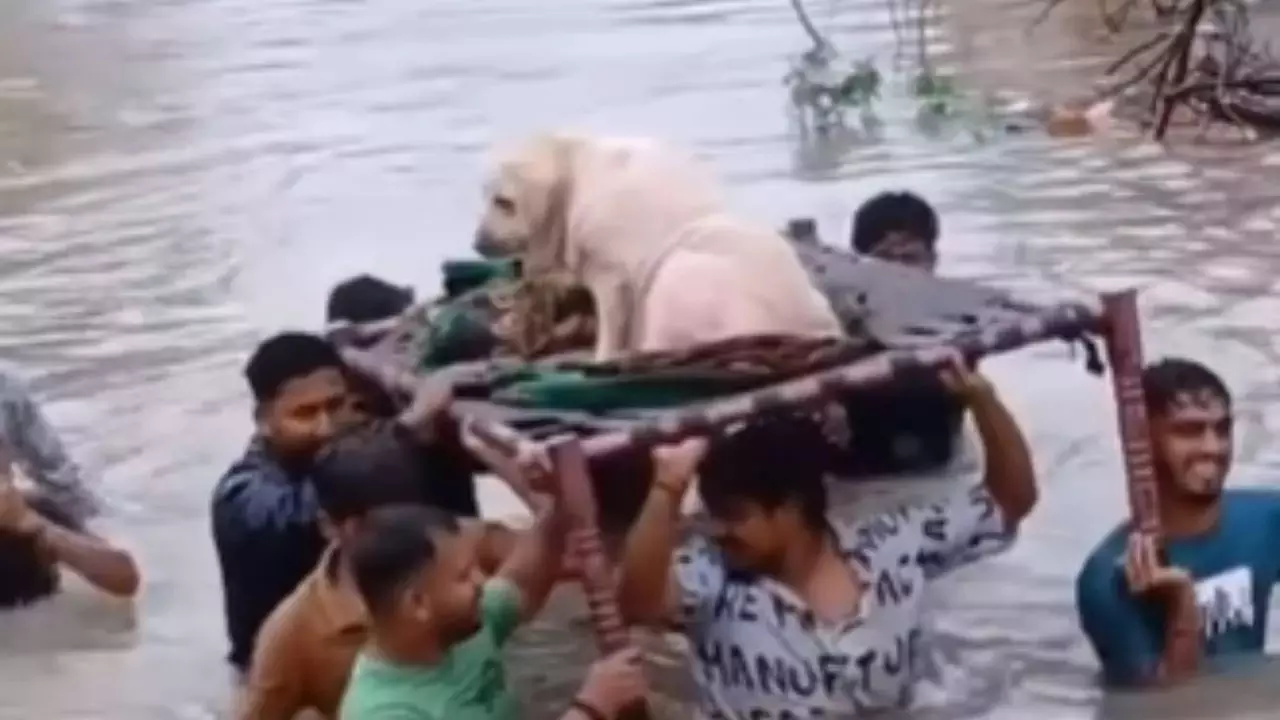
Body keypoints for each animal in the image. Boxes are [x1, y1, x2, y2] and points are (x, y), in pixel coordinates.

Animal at [476, 130, 844, 358]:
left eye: (502, 201)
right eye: (485, 196)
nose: (478, 241)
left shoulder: (608, 246)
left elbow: (613, 303)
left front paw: (602, 355)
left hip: (700, 279)